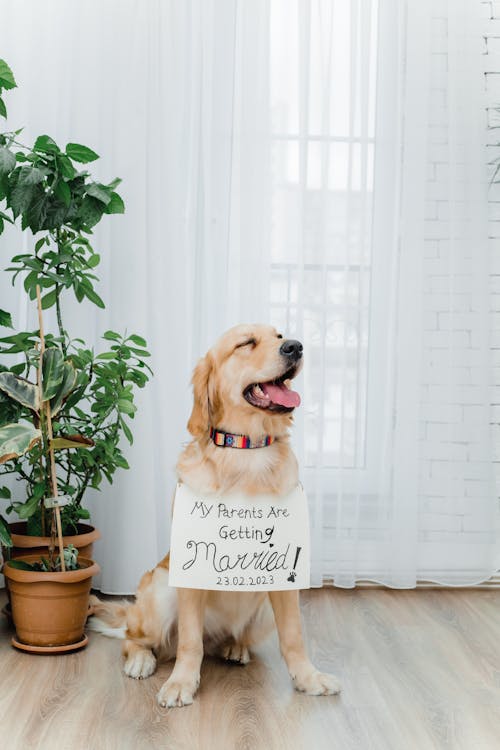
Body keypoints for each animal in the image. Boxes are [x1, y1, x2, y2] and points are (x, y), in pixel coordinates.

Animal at [89, 326, 340, 708]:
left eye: (279, 335)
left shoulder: (285, 576)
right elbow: (189, 642)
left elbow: (293, 636)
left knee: (228, 638)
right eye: (246, 343)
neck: (247, 454)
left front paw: (309, 678)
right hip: (161, 590)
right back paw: (141, 660)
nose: (295, 347)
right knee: (138, 638)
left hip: (261, 609)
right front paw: (181, 683)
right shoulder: (191, 572)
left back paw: (234, 647)